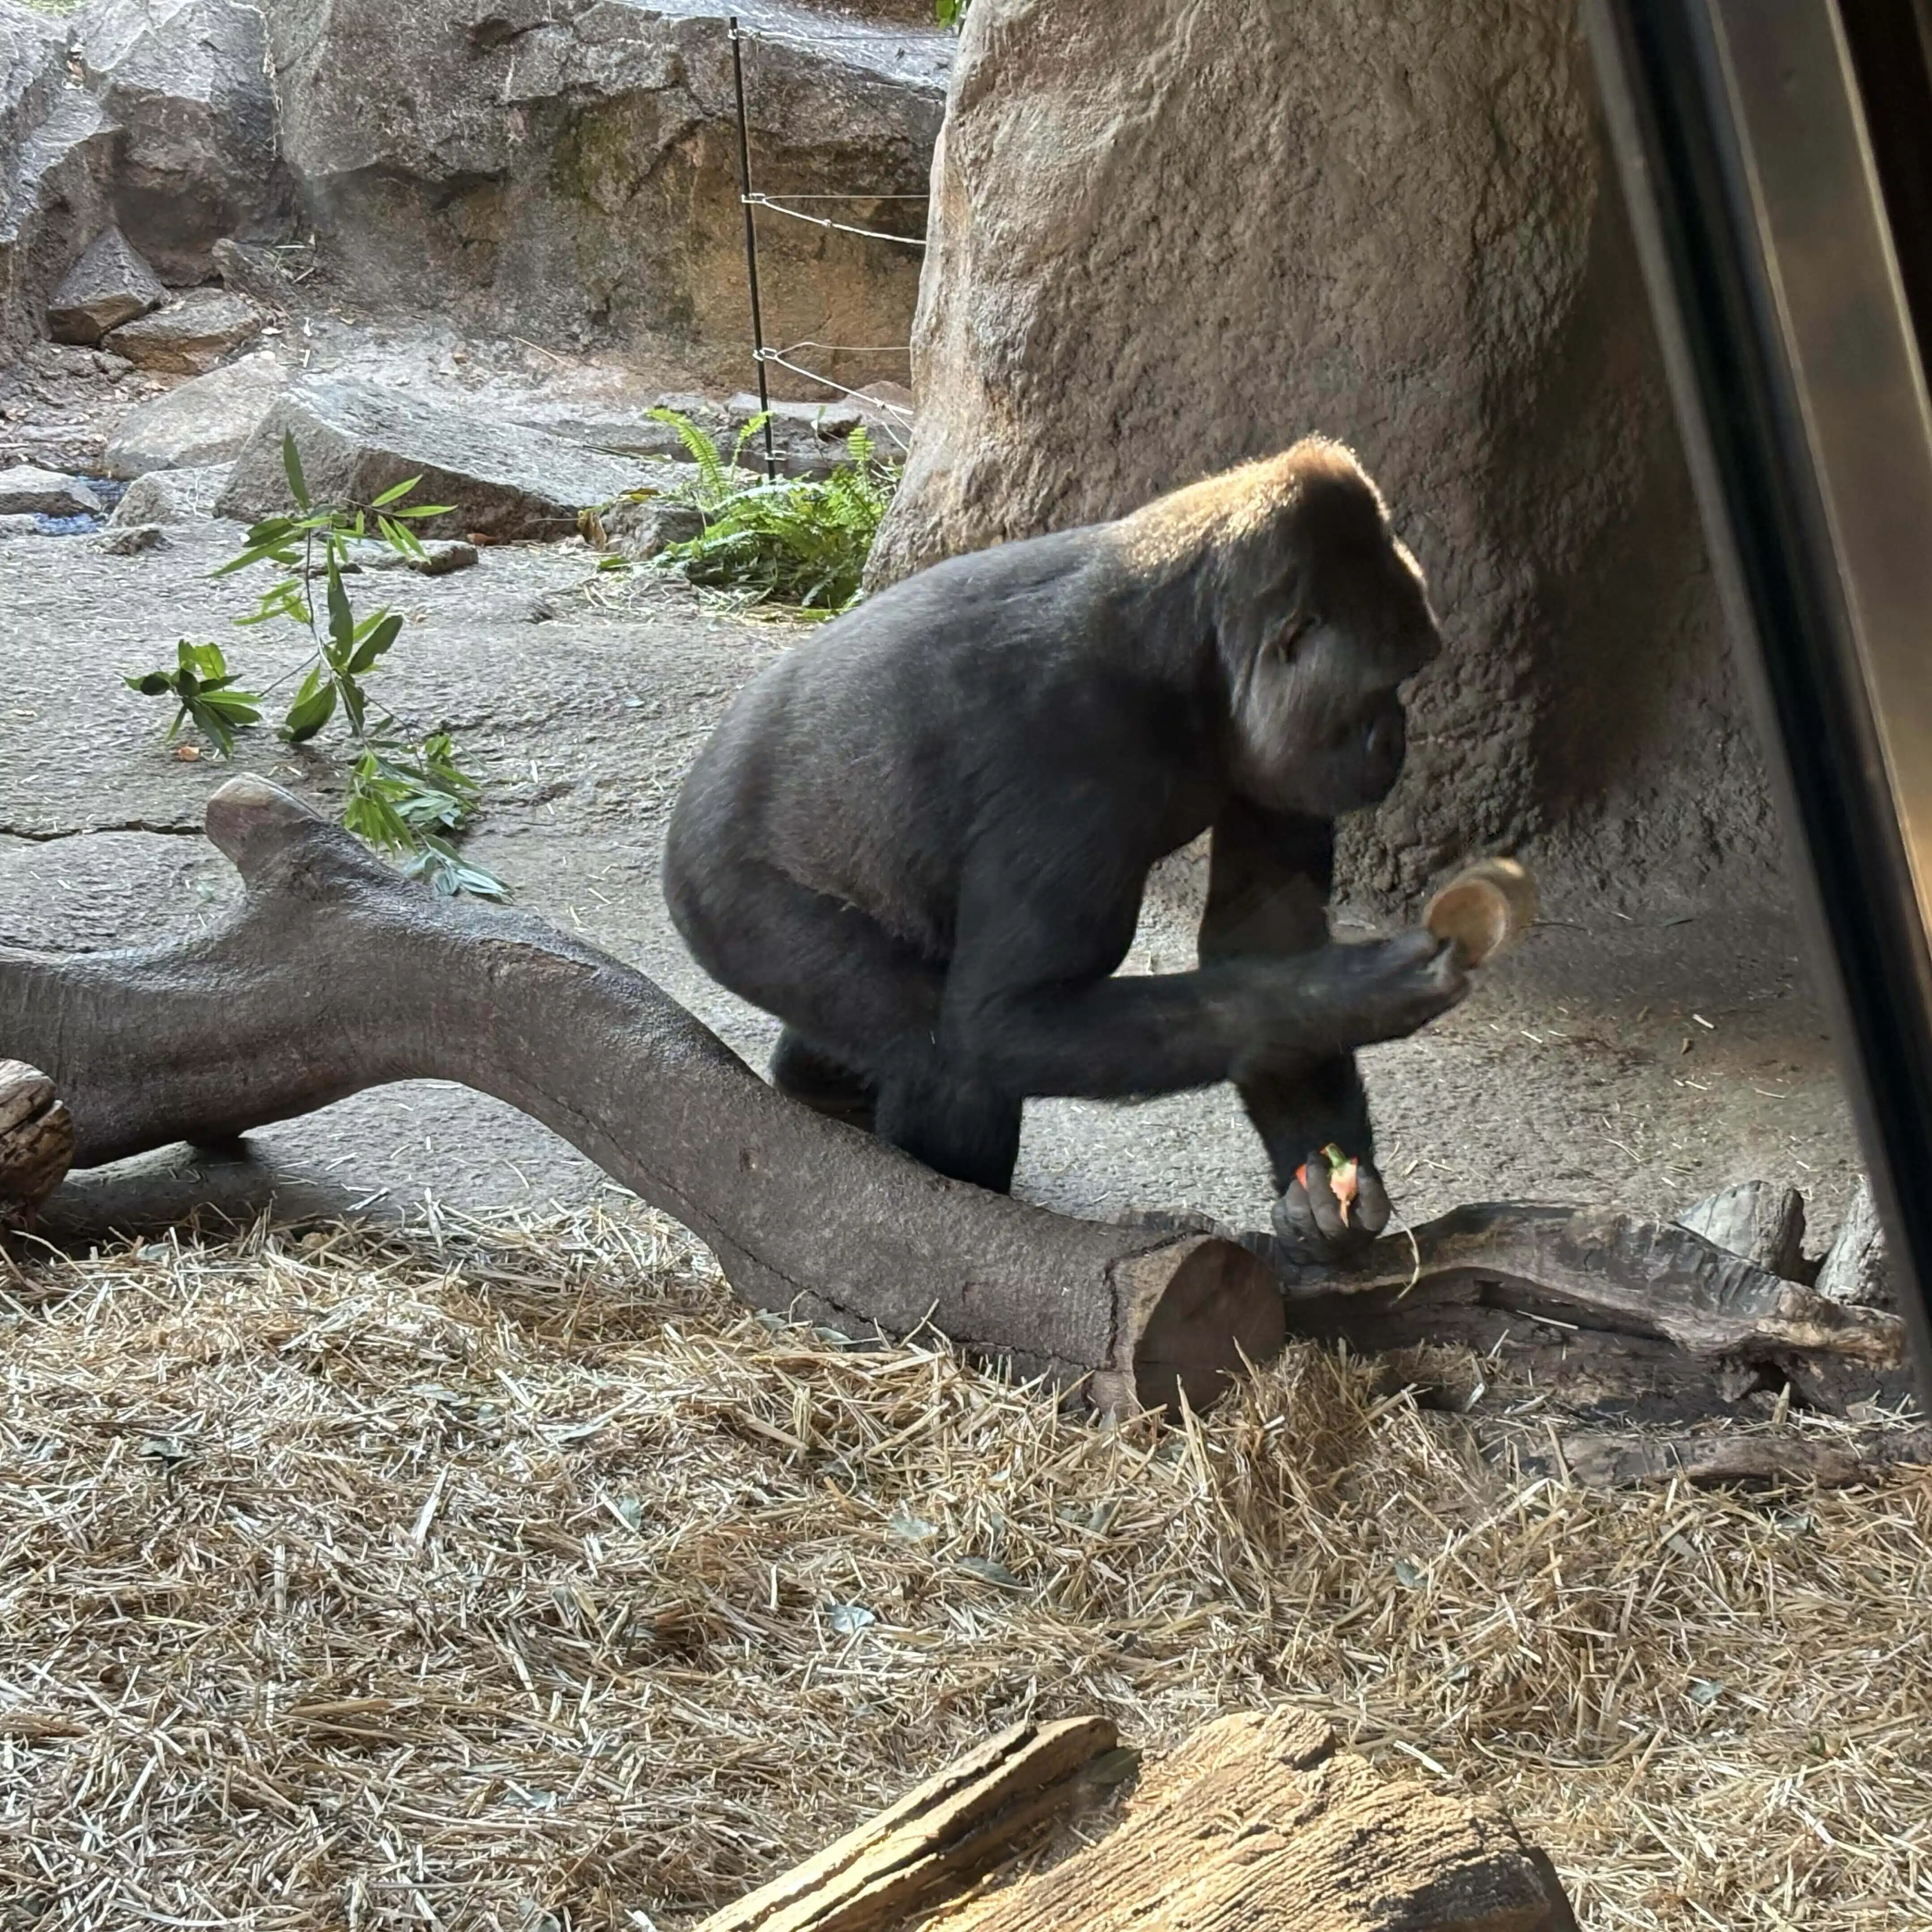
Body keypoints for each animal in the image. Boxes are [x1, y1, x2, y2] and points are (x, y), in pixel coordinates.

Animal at [662, 437, 1468, 1259]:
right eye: (1384, 682)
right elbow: (1003, 1020)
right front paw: (1356, 991)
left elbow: (1263, 946)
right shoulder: (1074, 741)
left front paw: (1324, 1182)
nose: (1394, 740)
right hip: (729, 897)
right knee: (937, 1049)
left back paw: (816, 1083)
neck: (1193, 644)